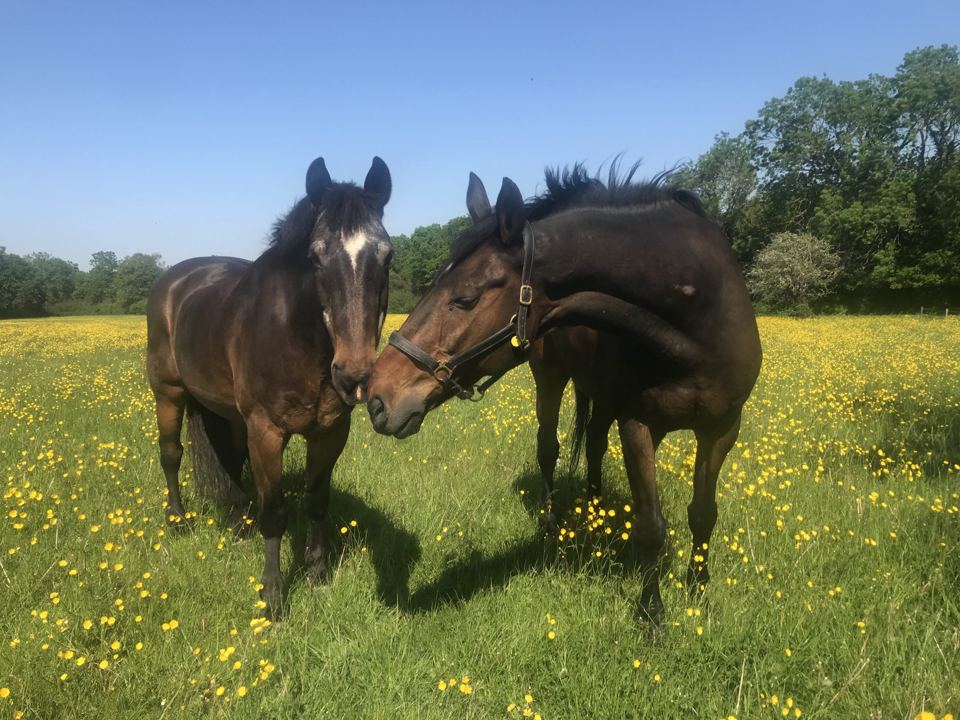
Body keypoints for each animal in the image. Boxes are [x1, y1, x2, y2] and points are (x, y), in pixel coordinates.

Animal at [146, 155, 393, 614]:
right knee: (171, 455)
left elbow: (316, 498)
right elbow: (275, 510)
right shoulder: (266, 431)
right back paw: (178, 522)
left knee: (229, 461)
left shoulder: (330, 432)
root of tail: (173, 282)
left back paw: (239, 525)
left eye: (387, 255)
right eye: (315, 256)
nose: (354, 376)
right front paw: (274, 593)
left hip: (224, 411)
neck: (295, 337)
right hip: (168, 392)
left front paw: (317, 572)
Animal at [365, 163, 761, 623]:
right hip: (551, 378)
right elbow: (651, 525)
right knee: (549, 449)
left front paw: (698, 589)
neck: (697, 320)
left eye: (464, 298)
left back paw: (595, 512)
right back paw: (552, 524)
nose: (376, 396)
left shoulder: (722, 428)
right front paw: (653, 613)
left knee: (593, 445)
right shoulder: (638, 424)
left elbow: (702, 514)